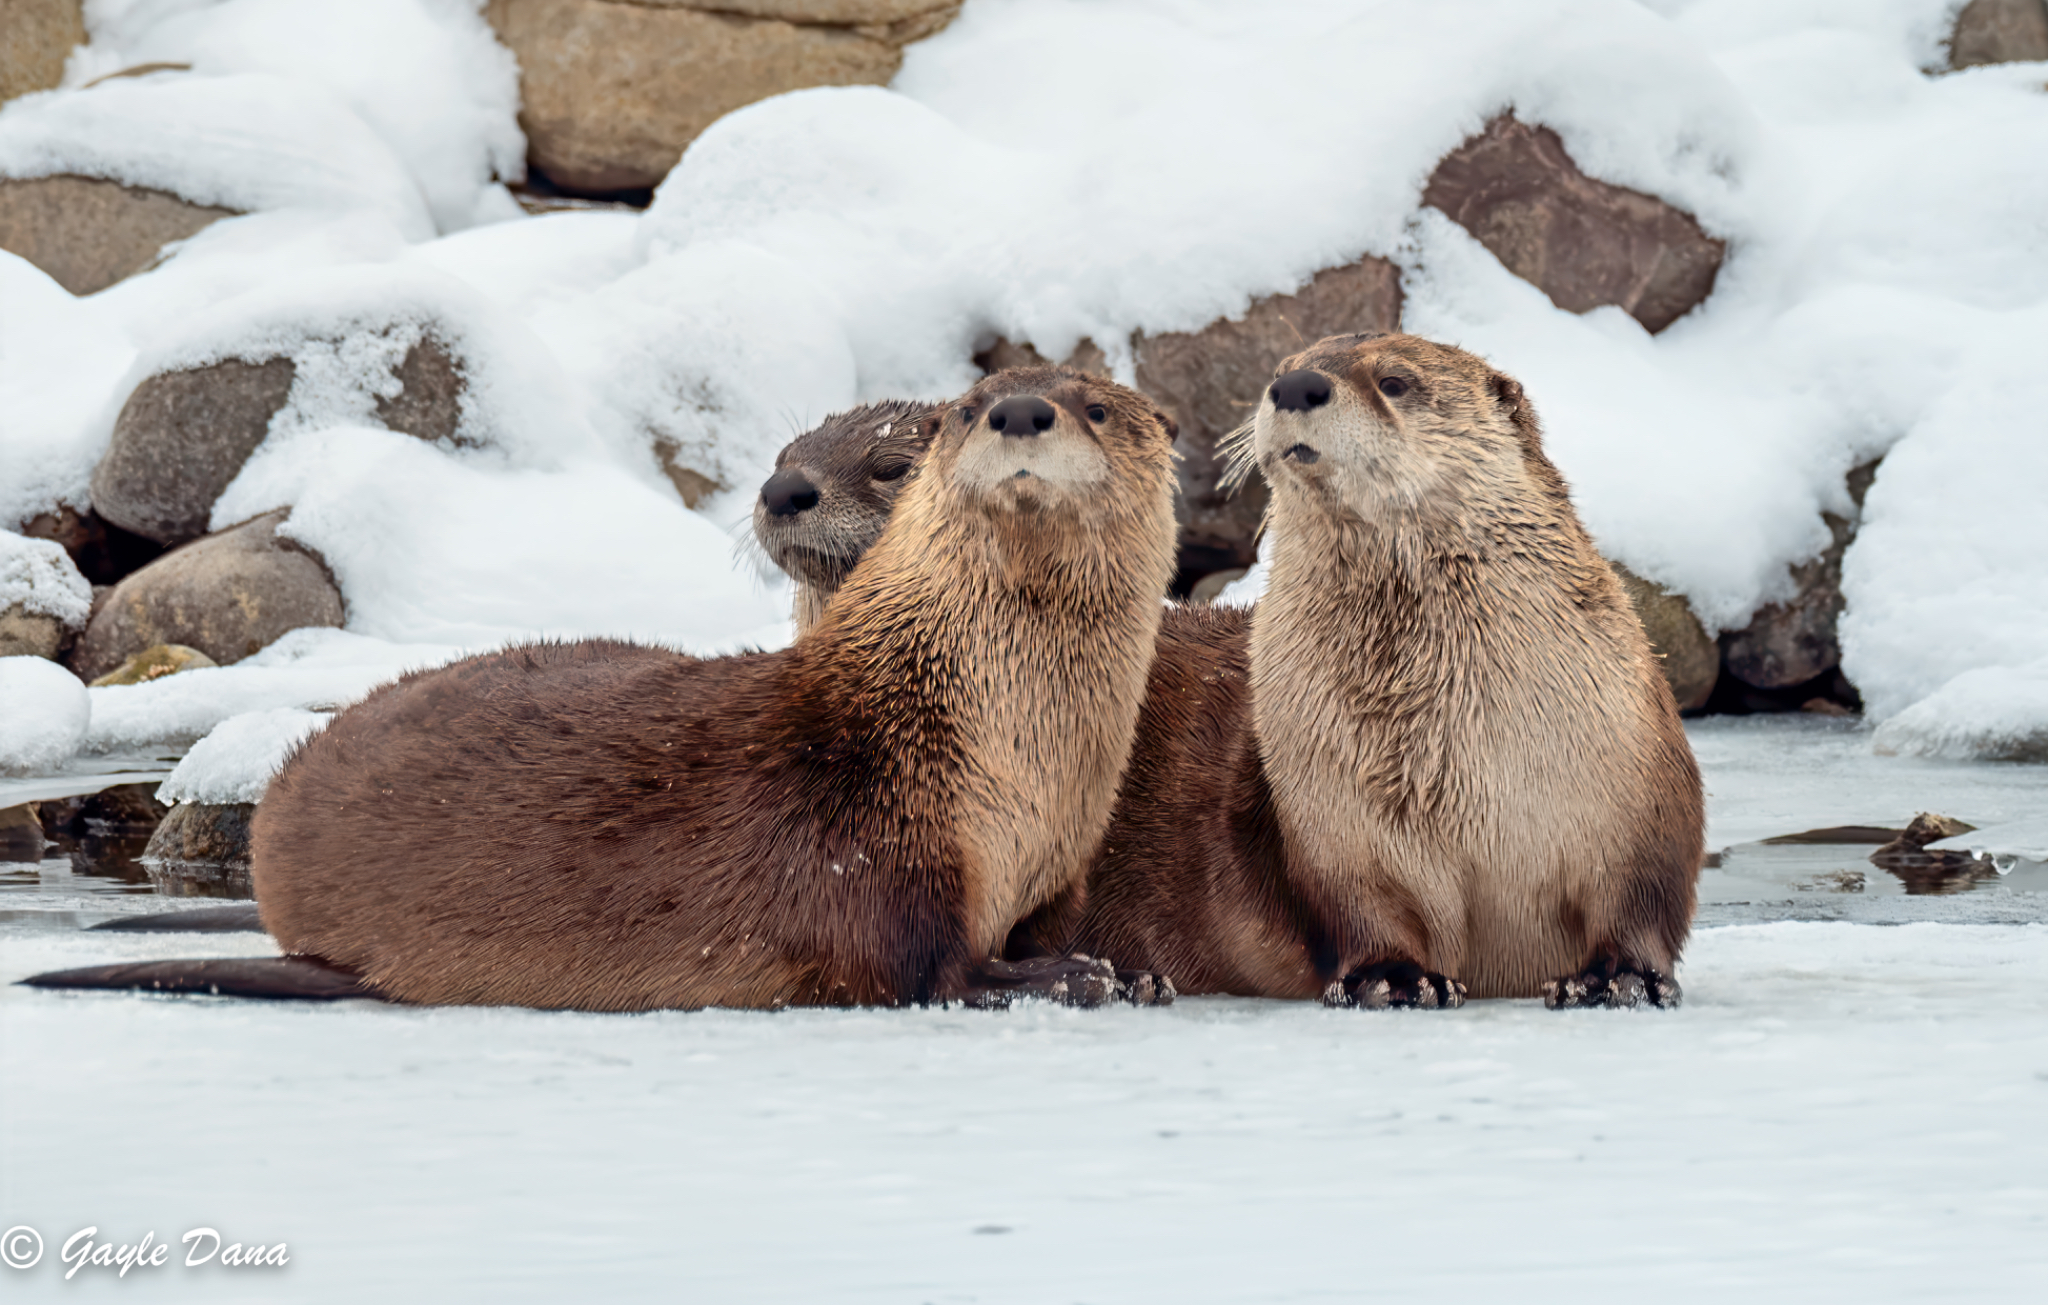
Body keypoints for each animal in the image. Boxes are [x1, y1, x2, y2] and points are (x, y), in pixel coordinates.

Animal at [28, 368, 1182, 1010]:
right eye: (966, 414)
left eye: (1097, 406)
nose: (1020, 410)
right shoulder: (872, 840)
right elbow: (919, 963)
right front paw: (1063, 979)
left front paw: (1128, 967)